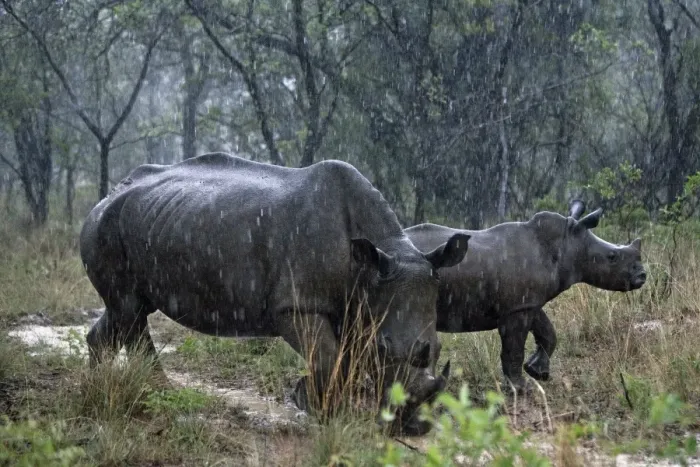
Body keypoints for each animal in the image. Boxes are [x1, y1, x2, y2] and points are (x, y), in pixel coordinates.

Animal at [80, 153, 469, 434]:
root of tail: (107, 196)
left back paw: (101, 386)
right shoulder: (295, 306)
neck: (378, 258)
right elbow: (327, 358)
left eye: (438, 349)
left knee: (125, 311)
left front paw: (319, 404)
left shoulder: (359, 304)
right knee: (129, 310)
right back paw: (156, 393)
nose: (415, 426)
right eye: (384, 349)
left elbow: (342, 359)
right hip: (105, 226)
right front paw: (330, 414)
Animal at [404, 201, 646, 391]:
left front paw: (537, 372)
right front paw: (521, 388)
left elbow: (548, 333)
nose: (642, 276)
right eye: (612, 257)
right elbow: (514, 348)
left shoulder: (528, 303)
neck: (565, 245)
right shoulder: (518, 309)